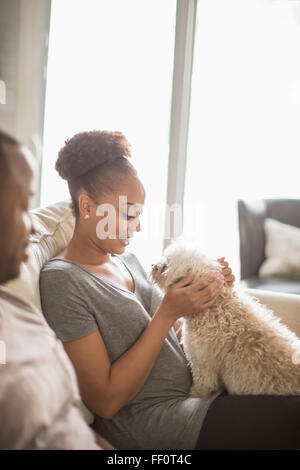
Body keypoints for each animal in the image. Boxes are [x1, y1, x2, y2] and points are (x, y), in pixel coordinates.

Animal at [151, 242, 300, 396]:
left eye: (166, 266)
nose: (152, 265)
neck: (217, 307)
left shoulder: (202, 363)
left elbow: (204, 385)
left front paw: (194, 393)